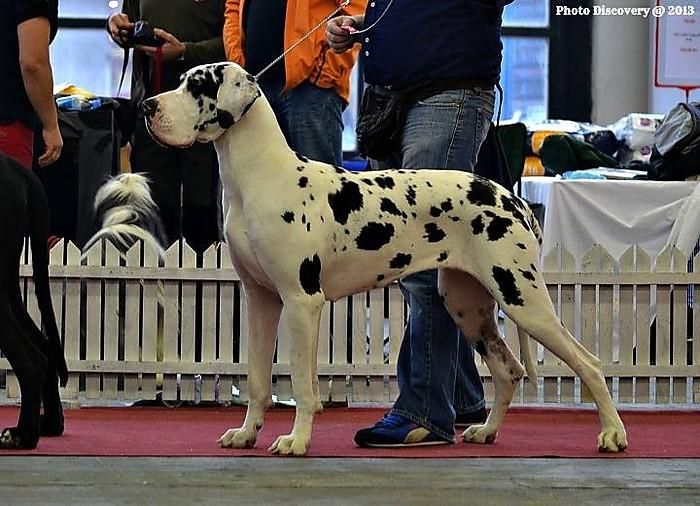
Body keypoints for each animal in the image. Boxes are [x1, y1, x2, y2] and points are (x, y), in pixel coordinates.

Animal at [143, 62, 628, 456]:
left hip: (522, 296)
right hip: (467, 304)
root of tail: (511, 197)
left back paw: (612, 434)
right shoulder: (262, 300)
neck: (261, 176)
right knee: (508, 369)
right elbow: (259, 380)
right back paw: (486, 431)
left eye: (197, 86)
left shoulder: (302, 302)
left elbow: (301, 383)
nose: (148, 106)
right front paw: (246, 434)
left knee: (588, 363)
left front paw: (296, 441)